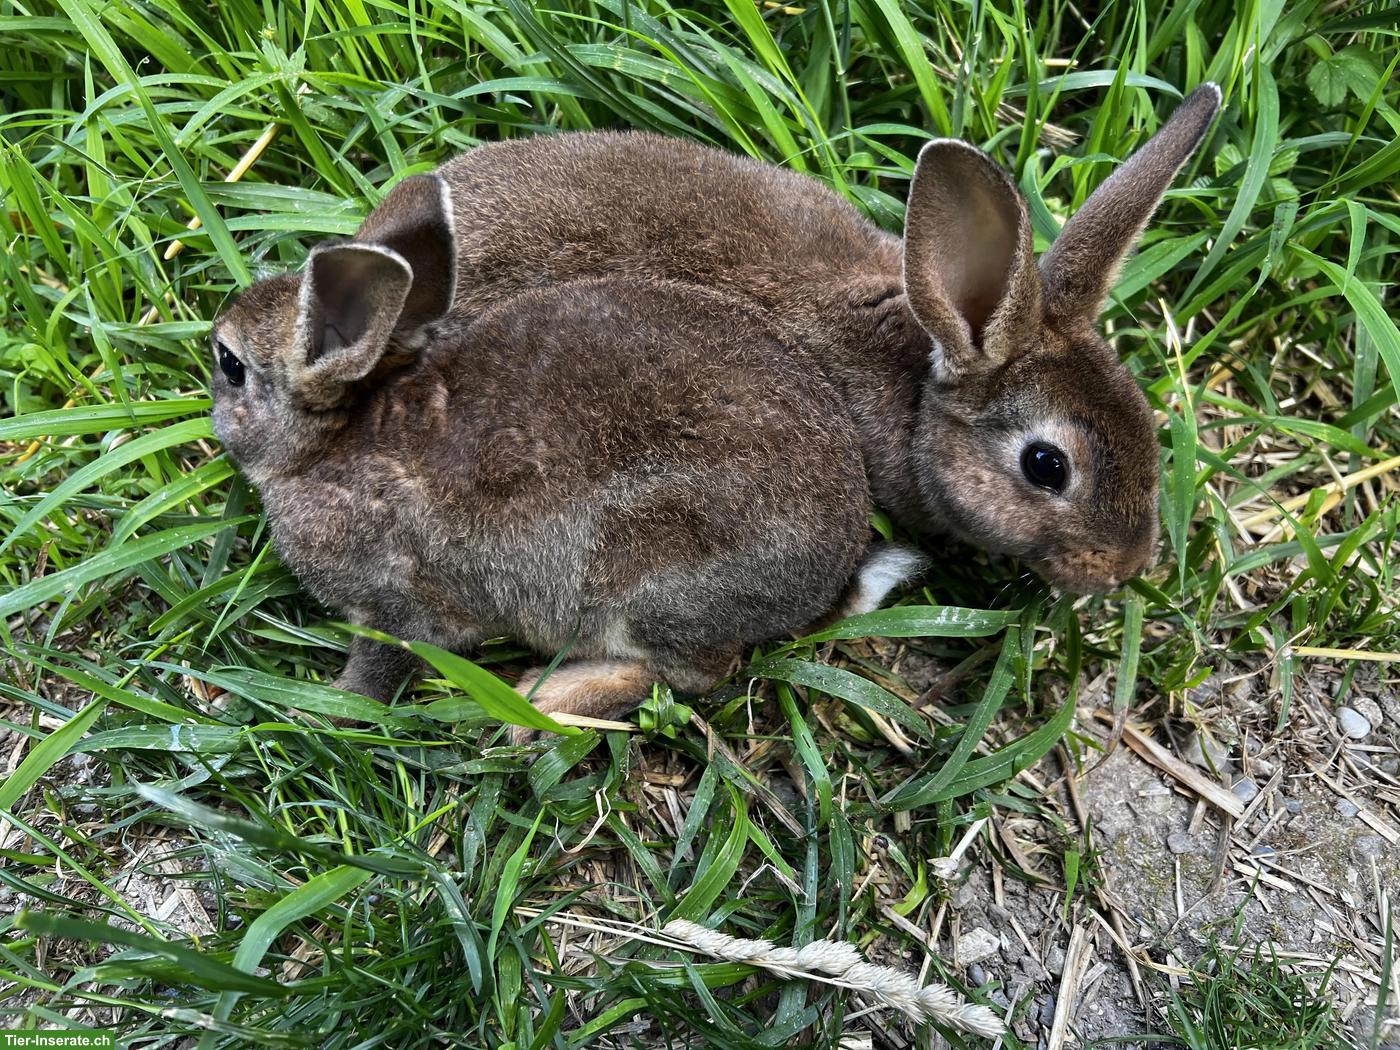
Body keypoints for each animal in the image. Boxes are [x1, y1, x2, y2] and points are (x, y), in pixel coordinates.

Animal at [210, 195, 921, 732]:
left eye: (230, 365)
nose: (209, 370)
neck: (328, 448)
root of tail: (825, 585)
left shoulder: (400, 604)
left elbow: (380, 672)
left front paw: (323, 713)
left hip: (644, 576)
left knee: (693, 673)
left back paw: (541, 704)